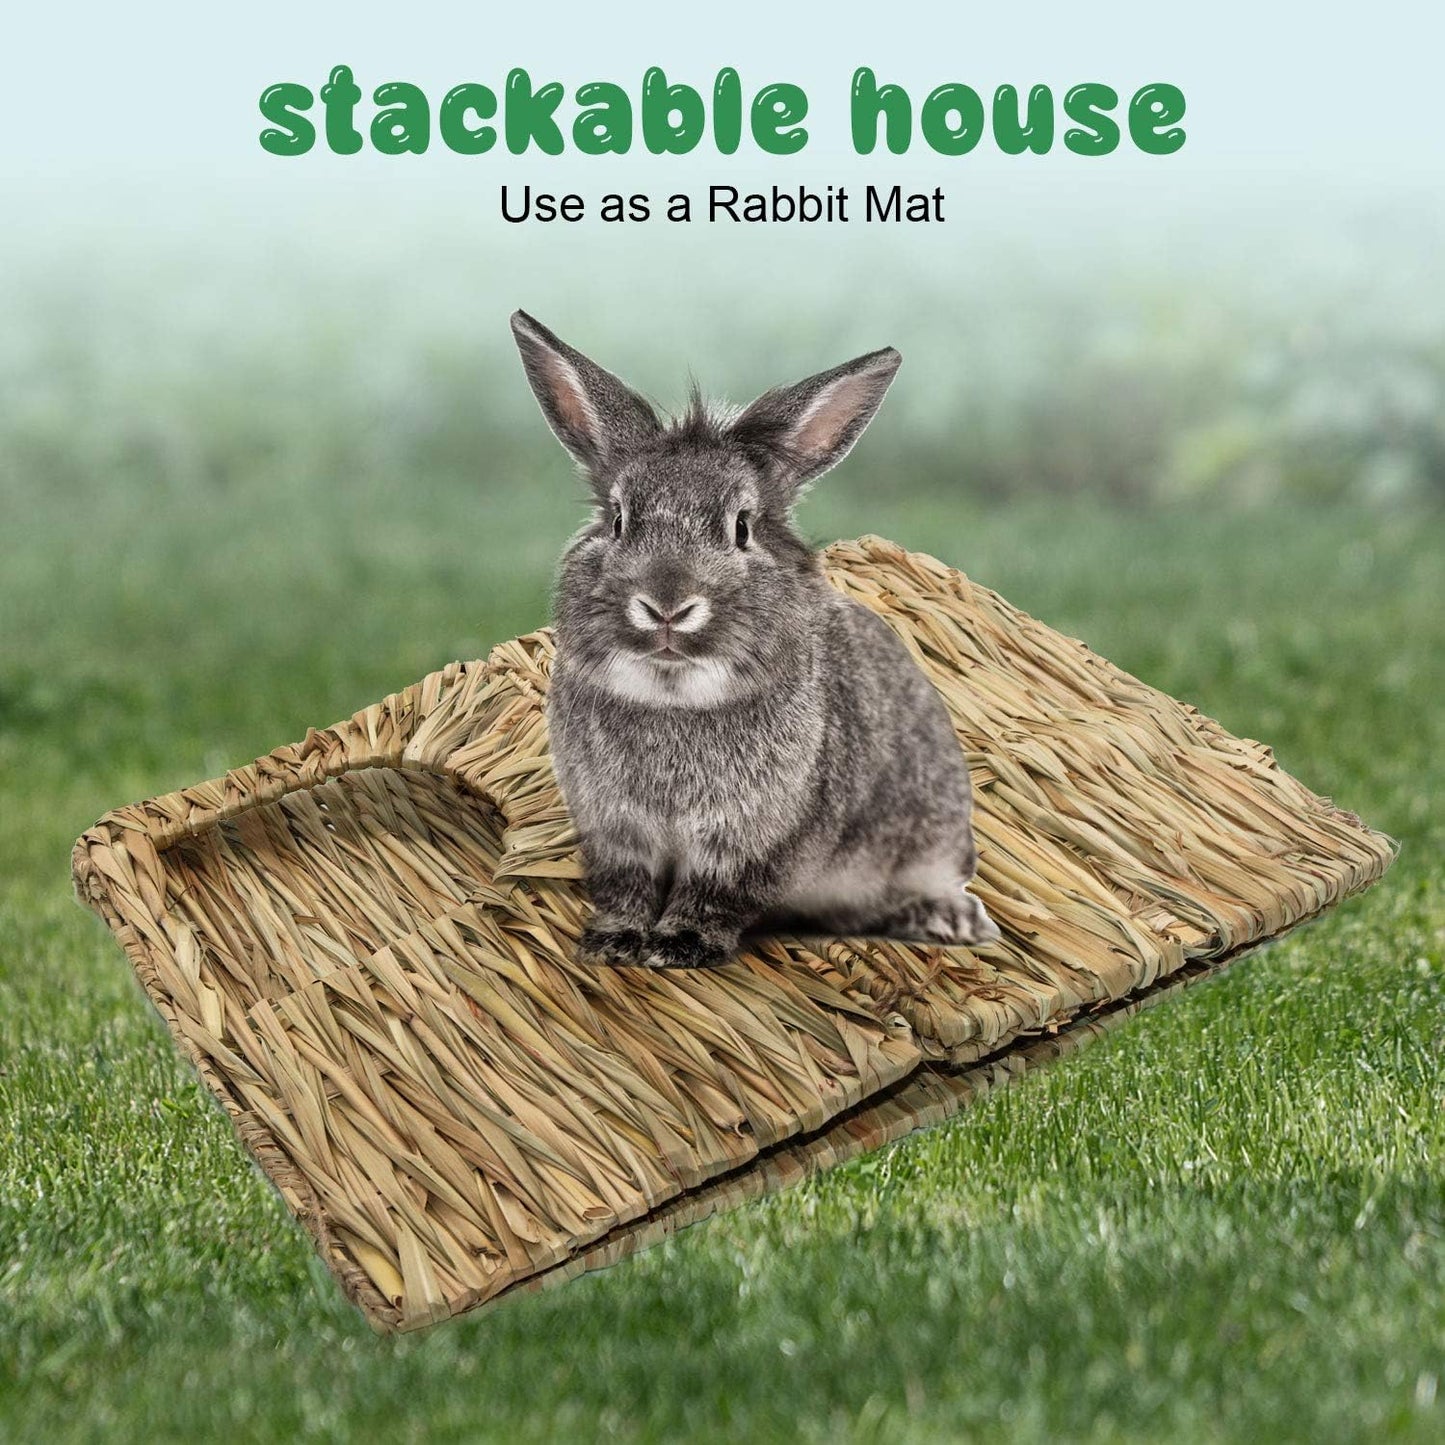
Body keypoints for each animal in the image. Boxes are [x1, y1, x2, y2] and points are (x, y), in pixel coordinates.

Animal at [510, 310, 1000, 970]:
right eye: (617, 520)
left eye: (741, 528)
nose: (667, 606)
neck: (674, 699)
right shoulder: (615, 834)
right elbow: (625, 889)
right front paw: (613, 943)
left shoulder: (752, 844)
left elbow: (715, 895)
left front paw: (681, 946)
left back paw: (951, 920)